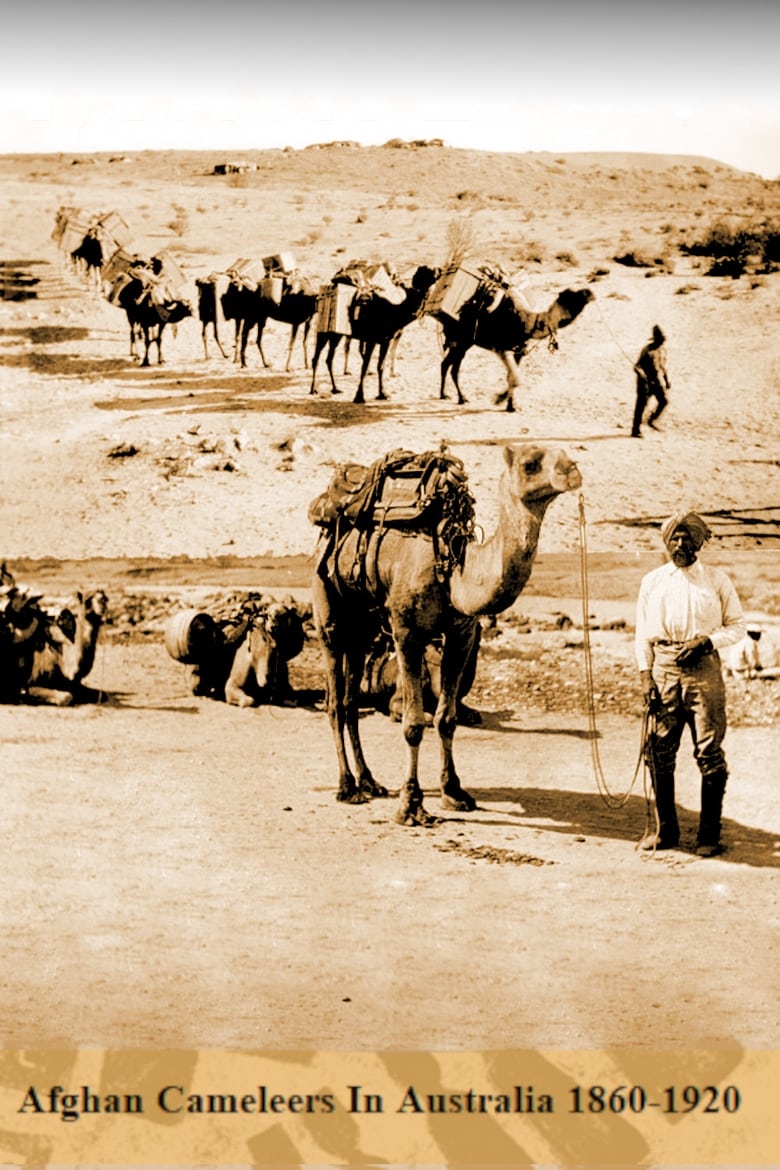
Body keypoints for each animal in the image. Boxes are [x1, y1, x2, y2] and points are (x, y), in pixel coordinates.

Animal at [308, 265, 439, 402]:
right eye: (427, 270)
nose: (439, 269)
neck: (392, 311)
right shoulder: (371, 339)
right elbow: (365, 366)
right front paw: (359, 396)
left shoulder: (386, 341)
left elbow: (380, 366)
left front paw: (383, 394)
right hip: (323, 331)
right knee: (316, 358)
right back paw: (313, 389)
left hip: (336, 334)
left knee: (329, 358)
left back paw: (335, 388)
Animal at [311, 442, 580, 828]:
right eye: (530, 464)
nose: (572, 470)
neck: (454, 569)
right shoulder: (406, 633)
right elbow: (413, 723)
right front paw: (411, 805)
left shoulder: (460, 634)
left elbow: (446, 718)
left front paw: (454, 792)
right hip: (328, 610)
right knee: (334, 701)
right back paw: (347, 787)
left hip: (363, 627)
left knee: (349, 701)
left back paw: (369, 781)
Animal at [437, 284, 594, 409]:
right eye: (572, 294)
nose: (590, 292)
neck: (525, 321)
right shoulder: (501, 349)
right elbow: (517, 378)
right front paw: (499, 399)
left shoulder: (519, 351)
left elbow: (512, 377)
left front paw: (510, 405)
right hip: (461, 341)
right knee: (452, 367)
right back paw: (459, 397)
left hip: (465, 343)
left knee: (447, 364)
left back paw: (446, 394)